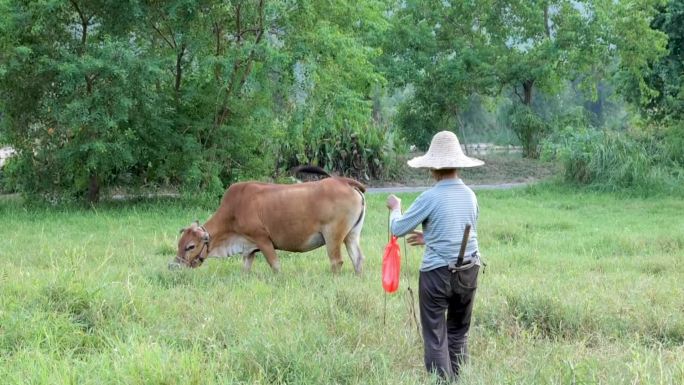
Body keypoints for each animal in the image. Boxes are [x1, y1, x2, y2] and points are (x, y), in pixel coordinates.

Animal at [169, 168, 366, 272]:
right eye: (180, 244)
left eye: (190, 246)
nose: (174, 265)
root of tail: (342, 181)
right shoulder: (248, 248)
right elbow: (245, 269)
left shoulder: (263, 240)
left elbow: (276, 266)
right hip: (352, 235)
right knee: (357, 259)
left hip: (332, 236)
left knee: (336, 262)